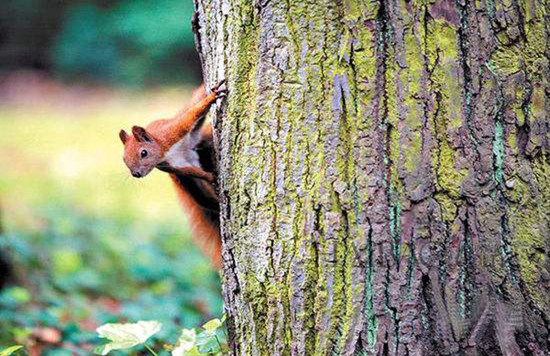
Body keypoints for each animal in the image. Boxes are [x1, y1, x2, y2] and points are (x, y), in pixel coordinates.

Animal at [119, 80, 226, 264]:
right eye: (124, 160)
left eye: (143, 153)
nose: (136, 174)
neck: (164, 150)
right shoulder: (172, 166)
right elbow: (192, 172)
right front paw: (211, 176)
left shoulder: (173, 132)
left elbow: (192, 115)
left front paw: (212, 97)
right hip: (193, 186)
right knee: (204, 198)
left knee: (193, 106)